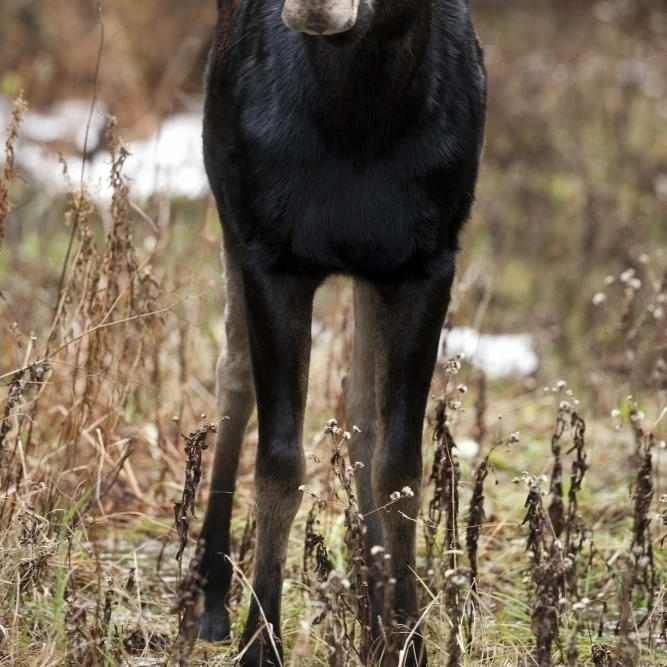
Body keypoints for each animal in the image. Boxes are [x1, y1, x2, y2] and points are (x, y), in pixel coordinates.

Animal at [191, 0, 486, 664]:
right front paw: (260, 642)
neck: (361, 124)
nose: (314, 7)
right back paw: (209, 595)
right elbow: (279, 466)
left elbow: (398, 465)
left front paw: (407, 640)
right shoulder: (270, 257)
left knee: (359, 414)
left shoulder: (426, 262)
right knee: (232, 373)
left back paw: (376, 623)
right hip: (226, 205)